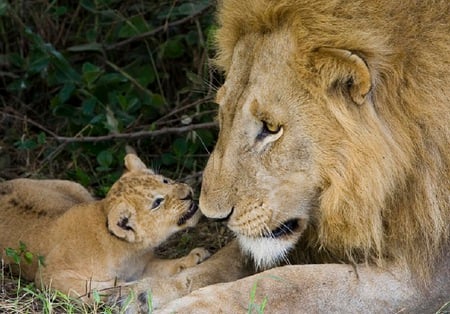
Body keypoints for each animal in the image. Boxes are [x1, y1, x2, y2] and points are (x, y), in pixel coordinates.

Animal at [152, 0, 450, 312]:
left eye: (271, 128)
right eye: (224, 113)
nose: (214, 216)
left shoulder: (425, 274)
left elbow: (291, 283)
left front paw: (192, 305)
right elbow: (228, 257)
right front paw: (144, 290)